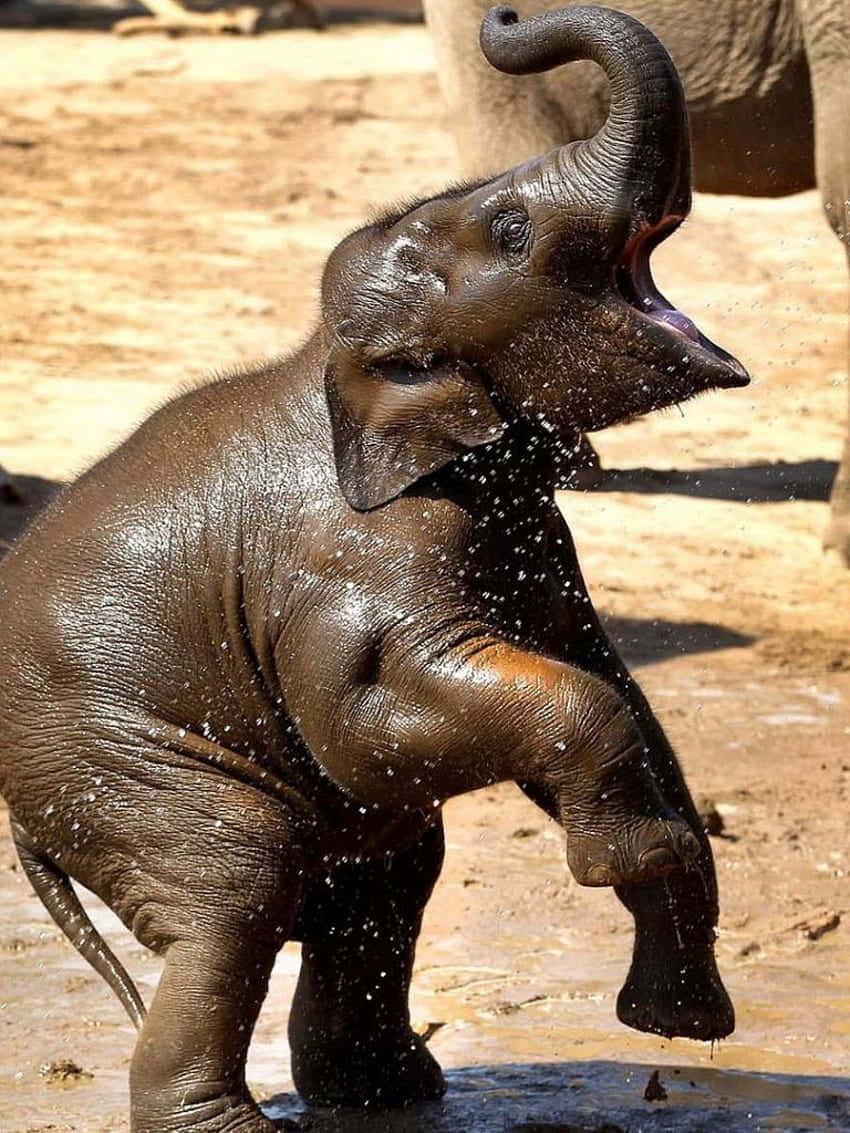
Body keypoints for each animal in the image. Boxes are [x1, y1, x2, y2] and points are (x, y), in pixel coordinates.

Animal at [0, 8, 745, 1130]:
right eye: (513, 229)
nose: (504, 21)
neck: (342, 362)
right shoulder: (353, 554)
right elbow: (368, 716)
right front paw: (624, 862)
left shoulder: (533, 543)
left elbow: (604, 682)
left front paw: (678, 1005)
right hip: (108, 763)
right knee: (238, 881)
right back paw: (240, 1122)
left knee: (386, 880)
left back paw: (386, 1091)